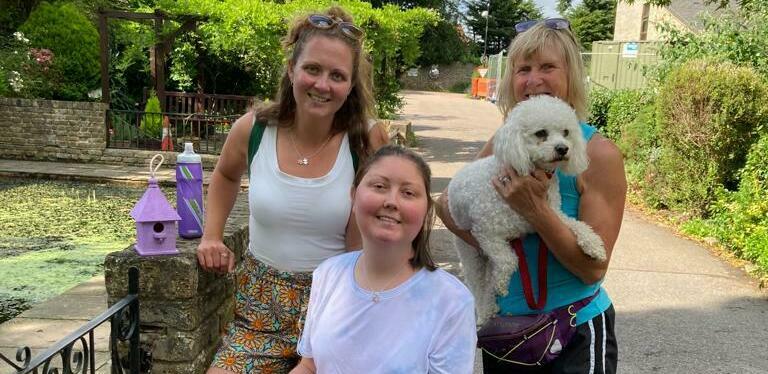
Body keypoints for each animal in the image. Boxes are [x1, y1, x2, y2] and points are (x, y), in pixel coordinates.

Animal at [450, 94, 608, 324]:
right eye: (541, 133)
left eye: (566, 132)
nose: (563, 148)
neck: (531, 174)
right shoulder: (486, 232)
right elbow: (508, 260)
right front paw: (501, 285)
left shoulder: (552, 216)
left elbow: (578, 224)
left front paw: (594, 245)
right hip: (469, 251)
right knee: (478, 285)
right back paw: (485, 311)